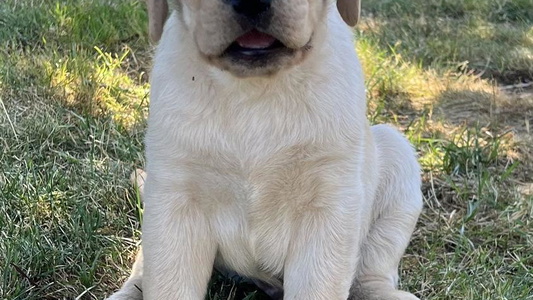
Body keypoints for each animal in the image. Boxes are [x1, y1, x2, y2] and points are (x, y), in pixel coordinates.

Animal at [108, 0, 422, 298]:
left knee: (369, 272)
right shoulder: (175, 199)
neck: (253, 89)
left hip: (396, 154)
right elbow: (167, 284)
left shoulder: (330, 204)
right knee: (144, 265)